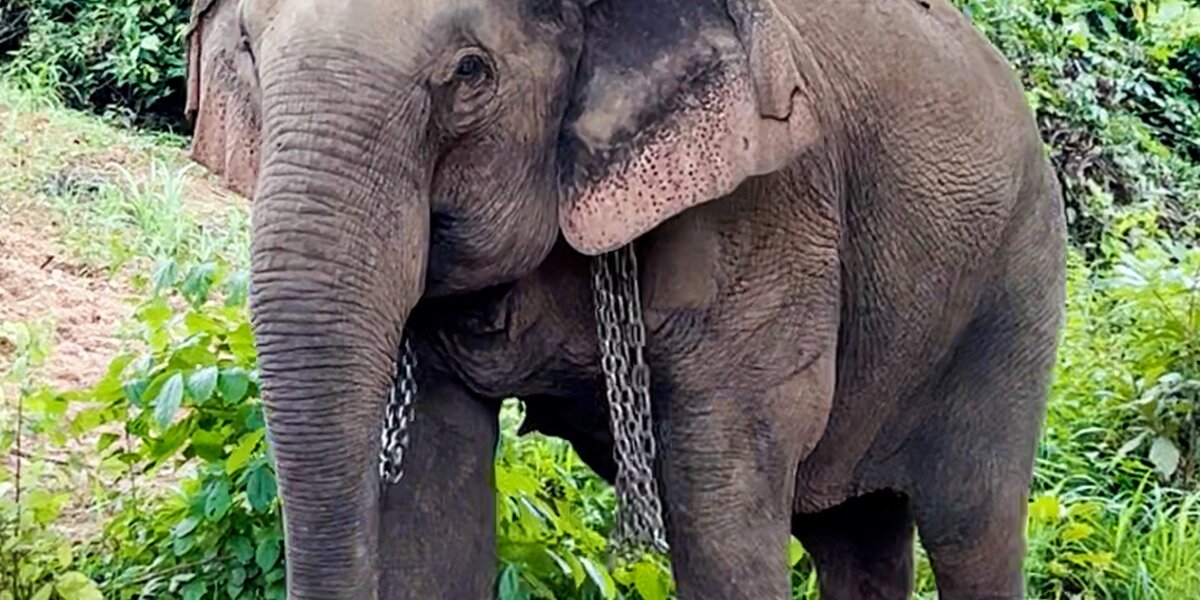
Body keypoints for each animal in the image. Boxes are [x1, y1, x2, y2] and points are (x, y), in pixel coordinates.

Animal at [183, 0, 1066, 597]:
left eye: (470, 73)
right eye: (249, 52)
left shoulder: (769, 212)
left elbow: (721, 506)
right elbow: (433, 491)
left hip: (1015, 290)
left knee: (972, 526)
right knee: (855, 535)